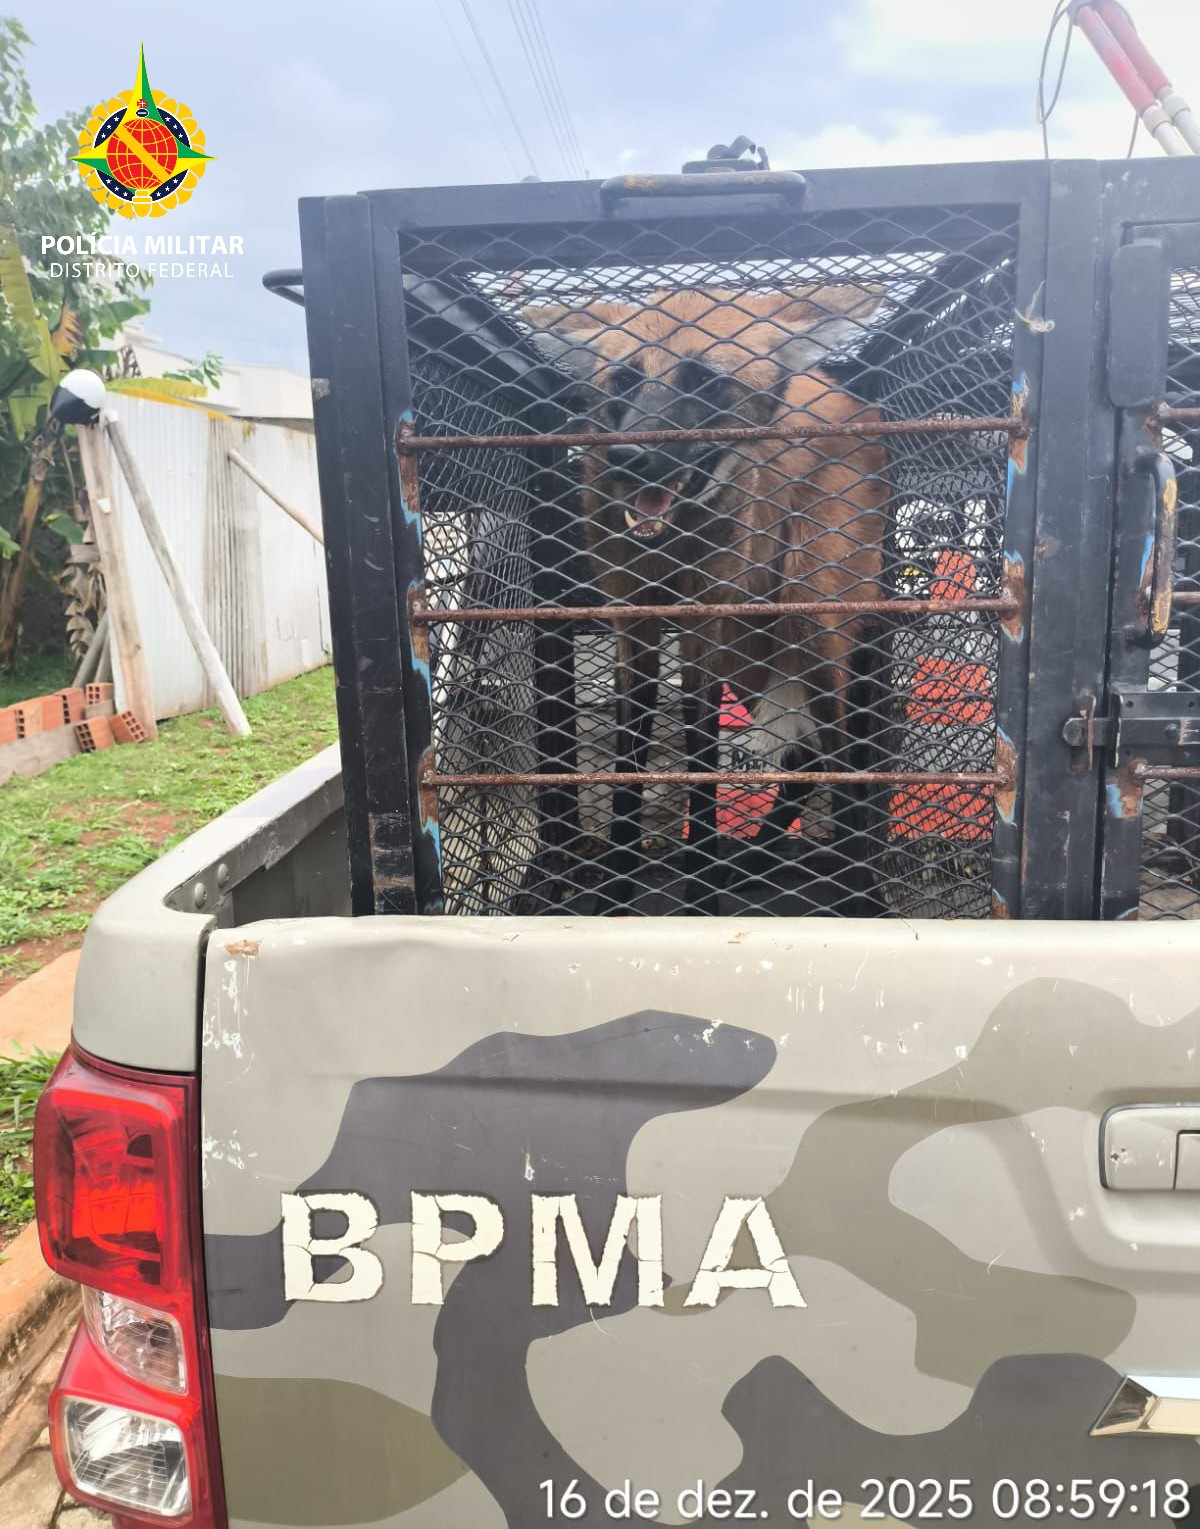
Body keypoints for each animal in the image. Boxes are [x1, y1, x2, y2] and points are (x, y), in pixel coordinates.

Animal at [524, 284, 888, 910]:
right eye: (625, 380)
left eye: (704, 380)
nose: (628, 455)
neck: (670, 552)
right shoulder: (634, 623)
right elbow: (629, 760)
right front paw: (616, 892)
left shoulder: (702, 624)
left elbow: (701, 760)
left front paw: (700, 896)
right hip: (757, 651)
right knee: (811, 753)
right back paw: (758, 858)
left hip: (809, 624)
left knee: (838, 754)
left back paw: (851, 891)